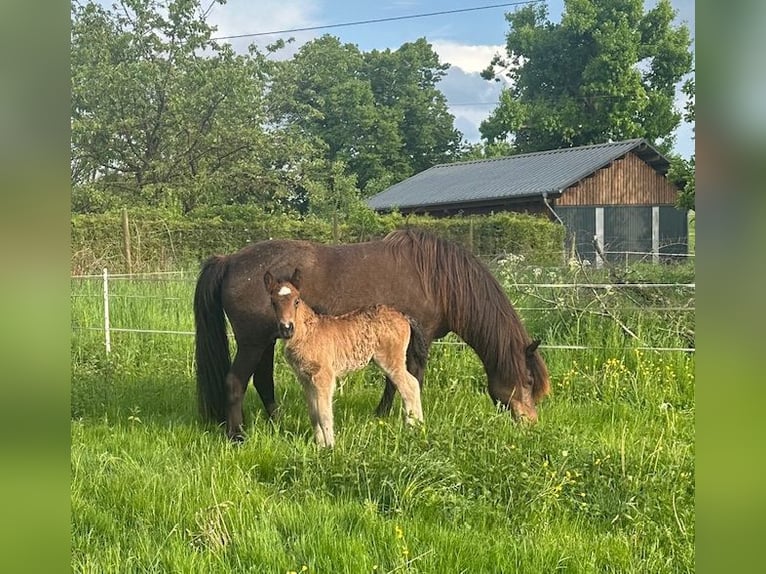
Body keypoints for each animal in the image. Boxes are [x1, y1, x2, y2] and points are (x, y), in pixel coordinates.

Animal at [264, 268, 425, 447]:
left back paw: (412, 428)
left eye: (296, 301)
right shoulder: (304, 378)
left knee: (409, 386)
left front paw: (330, 447)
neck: (307, 333)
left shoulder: (324, 376)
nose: (286, 328)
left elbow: (324, 414)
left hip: (390, 360)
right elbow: (313, 414)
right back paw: (419, 426)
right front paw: (319, 446)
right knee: (413, 383)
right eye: (273, 302)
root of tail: (404, 316)